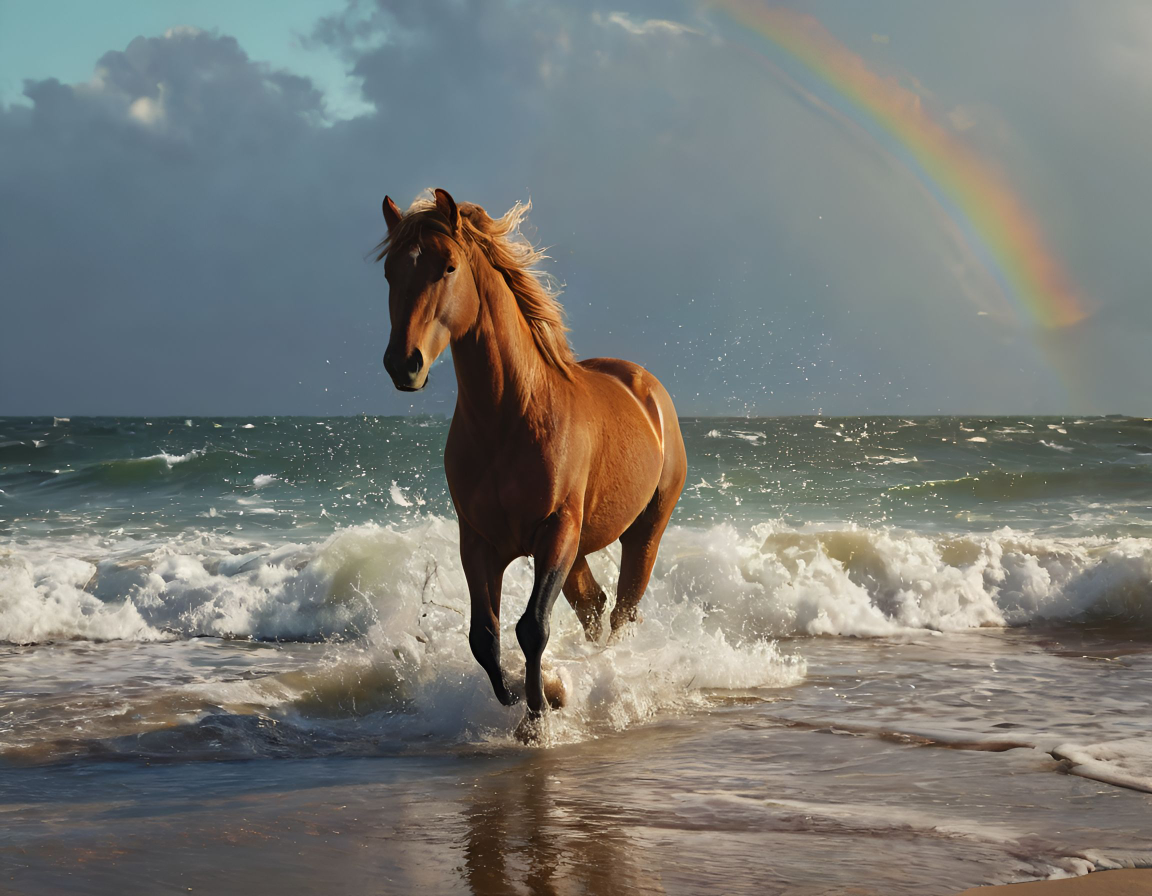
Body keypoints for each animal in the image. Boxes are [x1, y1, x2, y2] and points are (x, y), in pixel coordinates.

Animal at [377, 188, 681, 727]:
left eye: (448, 266)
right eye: (390, 271)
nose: (403, 364)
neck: (510, 417)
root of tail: (648, 388)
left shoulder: (555, 531)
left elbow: (532, 627)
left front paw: (540, 713)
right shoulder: (478, 542)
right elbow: (485, 637)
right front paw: (526, 696)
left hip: (642, 532)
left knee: (622, 611)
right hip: (579, 547)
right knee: (593, 605)